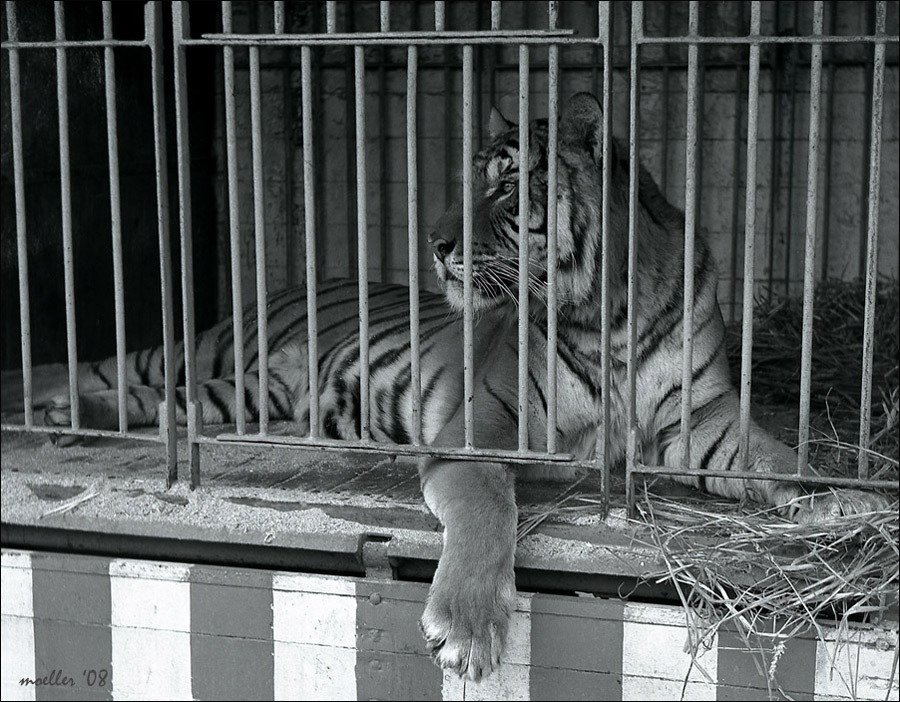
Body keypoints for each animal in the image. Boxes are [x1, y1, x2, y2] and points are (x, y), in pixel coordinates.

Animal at [3, 92, 888, 680]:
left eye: (505, 185)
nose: (433, 244)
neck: (609, 310)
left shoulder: (700, 422)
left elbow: (781, 459)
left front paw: (853, 503)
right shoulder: (486, 425)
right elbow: (488, 506)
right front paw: (466, 628)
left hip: (250, 395)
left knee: (165, 407)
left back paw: (67, 415)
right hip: (203, 351)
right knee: (125, 365)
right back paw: (41, 395)